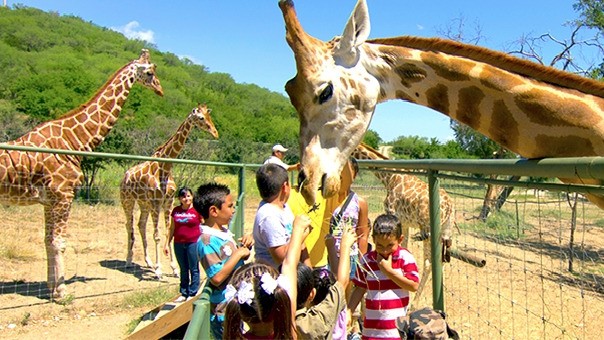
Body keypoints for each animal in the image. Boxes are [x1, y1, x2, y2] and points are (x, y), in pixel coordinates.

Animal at [0, 49, 164, 298]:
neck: (75, 140)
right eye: (150, 72)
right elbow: (58, 242)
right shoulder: (64, 195)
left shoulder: (50, 200)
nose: (160, 90)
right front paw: (61, 292)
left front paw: (52, 288)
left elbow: (48, 240)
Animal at [120, 103, 219, 278]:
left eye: (209, 116)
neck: (165, 166)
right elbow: (158, 235)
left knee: (140, 225)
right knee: (129, 225)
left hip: (143, 203)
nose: (215, 132)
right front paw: (159, 270)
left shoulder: (168, 201)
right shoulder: (156, 202)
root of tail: (124, 177)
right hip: (128, 201)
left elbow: (168, 233)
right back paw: (128, 261)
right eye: (201, 118)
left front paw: (174, 269)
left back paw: (148, 261)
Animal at [350, 142, 452, 304]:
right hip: (445, 230)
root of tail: (450, 205)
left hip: (428, 230)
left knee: (429, 262)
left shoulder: (392, 213)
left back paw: (414, 303)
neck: (389, 178)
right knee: (441, 262)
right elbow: (404, 249)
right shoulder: (405, 223)